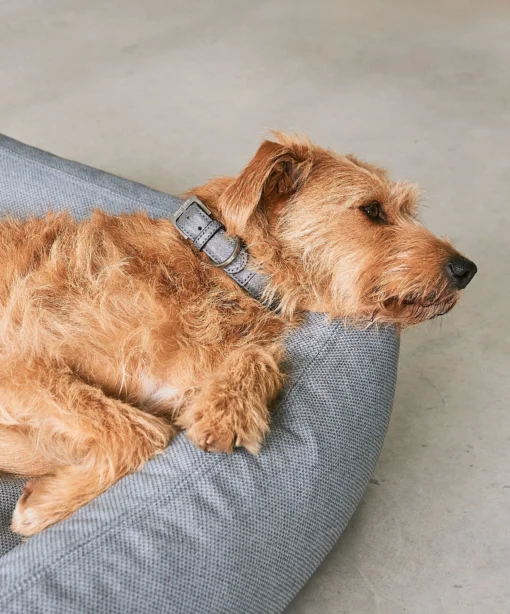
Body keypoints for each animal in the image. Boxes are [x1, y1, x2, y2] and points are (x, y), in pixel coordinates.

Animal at [0, 133, 476, 536]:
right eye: (372, 210)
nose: (466, 269)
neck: (225, 269)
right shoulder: (19, 367)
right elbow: (144, 432)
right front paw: (43, 504)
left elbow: (253, 358)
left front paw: (230, 407)